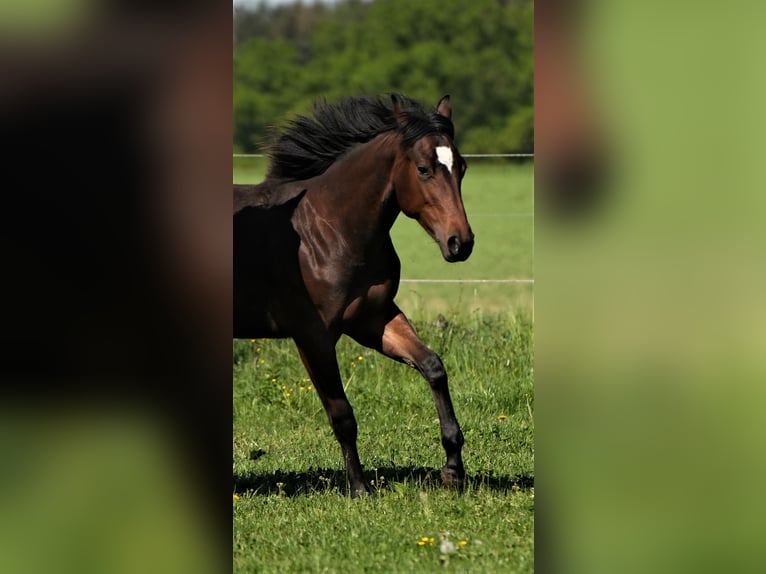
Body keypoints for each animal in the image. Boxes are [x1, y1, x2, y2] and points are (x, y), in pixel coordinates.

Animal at [234, 95, 474, 500]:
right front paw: (359, 488)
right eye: (423, 168)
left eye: (462, 166)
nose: (460, 243)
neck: (329, 229)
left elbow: (432, 366)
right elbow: (342, 414)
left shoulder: (372, 319)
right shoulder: (313, 335)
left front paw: (452, 470)